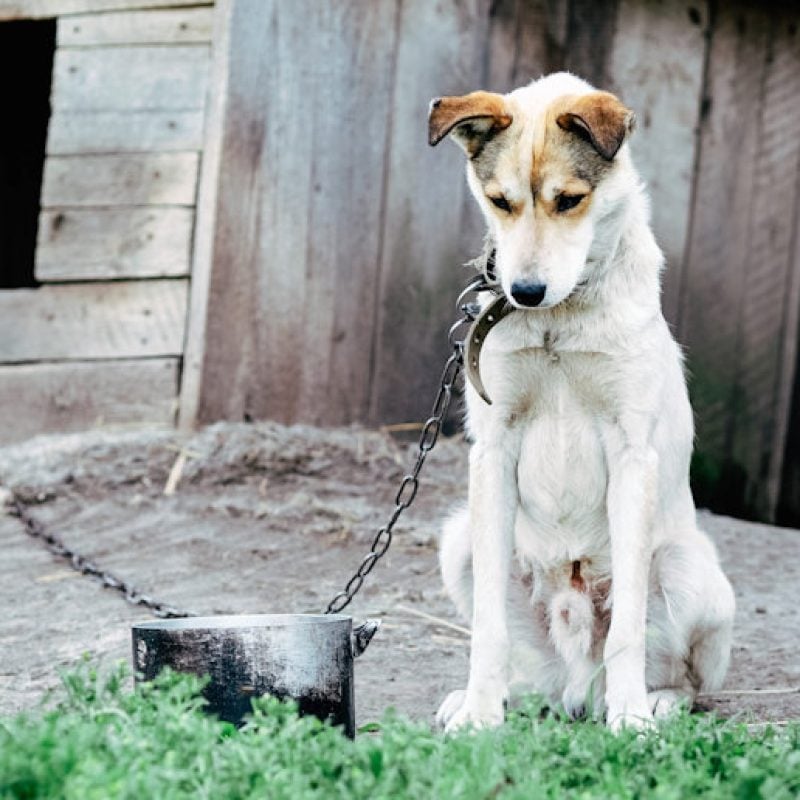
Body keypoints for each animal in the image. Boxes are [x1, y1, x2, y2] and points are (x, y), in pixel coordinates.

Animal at [428, 73, 736, 732]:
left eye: (569, 200)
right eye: (500, 201)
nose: (524, 291)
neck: (558, 322)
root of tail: (576, 687)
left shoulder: (631, 454)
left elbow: (628, 629)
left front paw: (632, 721)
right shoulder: (492, 451)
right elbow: (487, 628)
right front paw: (479, 715)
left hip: (688, 567)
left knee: (685, 680)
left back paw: (650, 702)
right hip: (461, 539)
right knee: (530, 672)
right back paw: (496, 697)